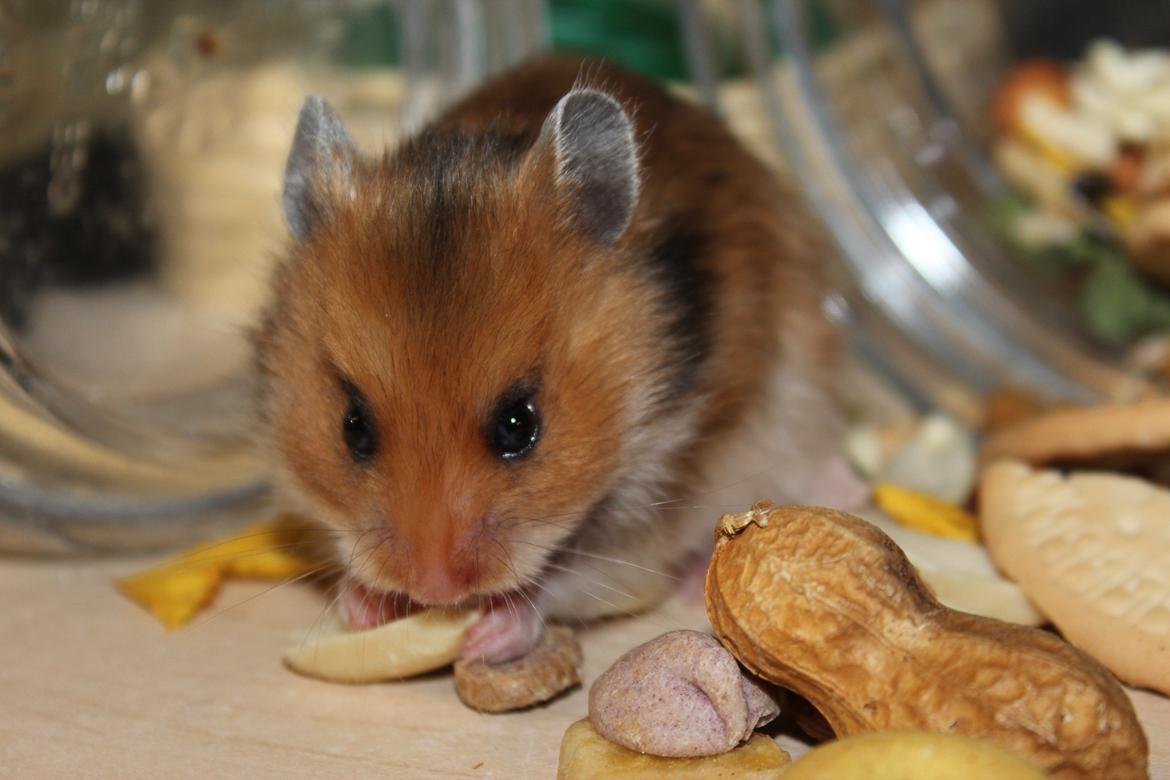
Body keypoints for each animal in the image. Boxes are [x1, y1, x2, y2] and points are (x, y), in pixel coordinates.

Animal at [255, 55, 859, 664]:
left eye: (518, 425)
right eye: (352, 427)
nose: (434, 589)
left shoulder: (644, 521)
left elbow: (563, 582)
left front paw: (486, 635)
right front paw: (363, 606)